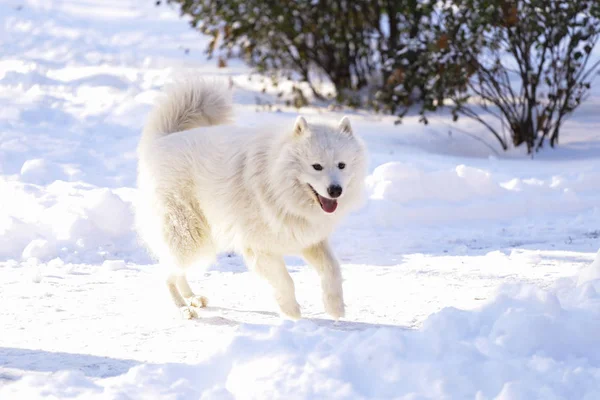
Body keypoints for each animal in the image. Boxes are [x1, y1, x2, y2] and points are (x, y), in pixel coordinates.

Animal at [136, 79, 368, 320]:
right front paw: (292, 314)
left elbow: (332, 269)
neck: (277, 186)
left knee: (176, 271)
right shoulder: (260, 248)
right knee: (167, 272)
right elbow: (286, 281)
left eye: (341, 165)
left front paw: (335, 307)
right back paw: (183, 308)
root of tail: (162, 139)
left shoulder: (309, 240)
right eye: (317, 166)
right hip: (189, 236)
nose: (335, 190)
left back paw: (193, 298)